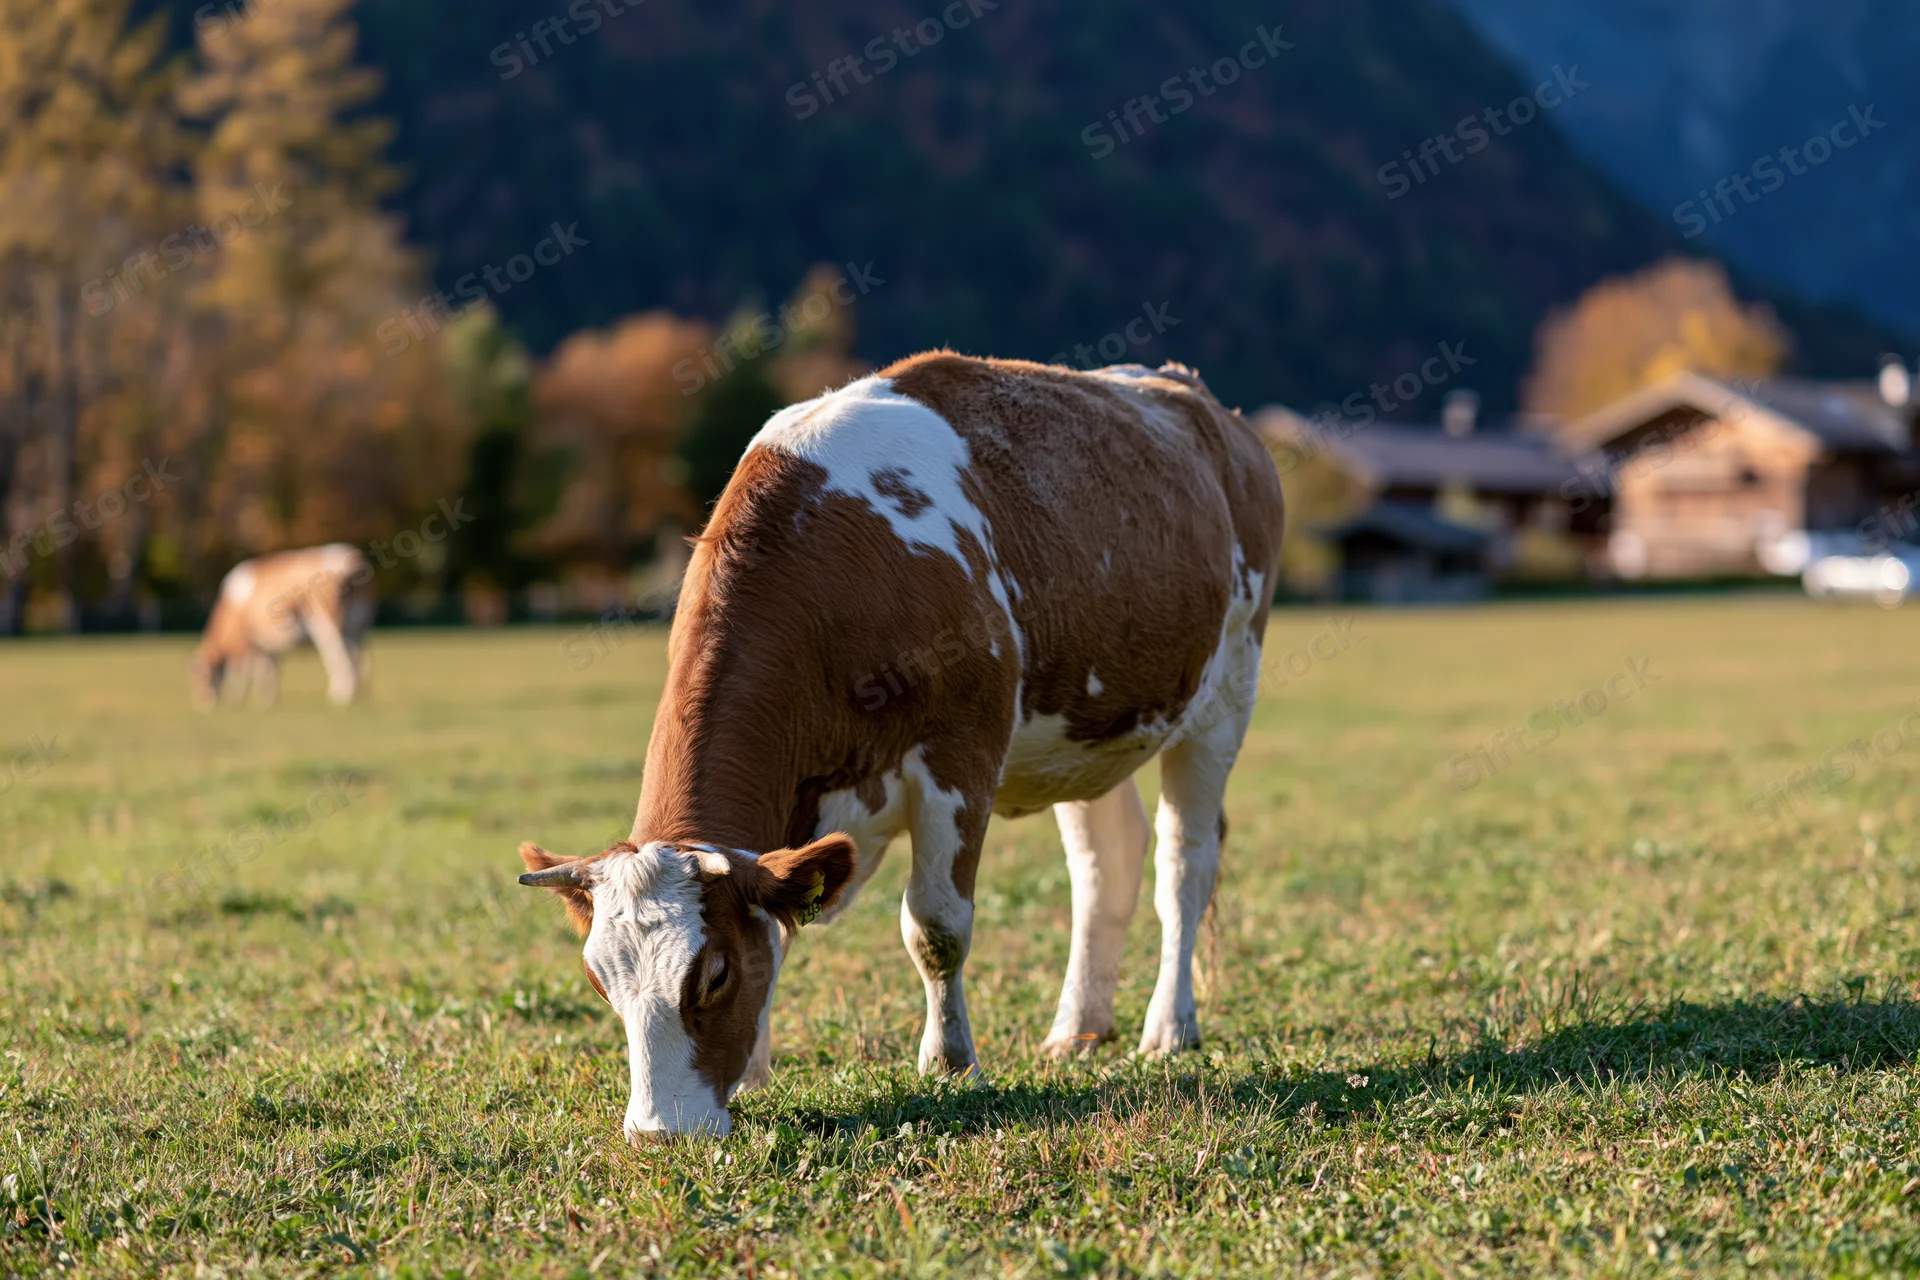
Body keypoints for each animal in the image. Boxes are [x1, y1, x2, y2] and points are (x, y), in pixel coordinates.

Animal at [190, 544, 374, 710]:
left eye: (202, 677)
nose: (204, 704)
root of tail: (352, 558)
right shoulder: (267, 643)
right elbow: (269, 668)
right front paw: (268, 699)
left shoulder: (246, 642)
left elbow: (244, 671)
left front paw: (241, 698)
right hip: (356, 627)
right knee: (358, 659)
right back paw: (357, 696)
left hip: (327, 625)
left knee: (339, 658)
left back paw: (340, 697)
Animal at [516, 353, 1284, 1140]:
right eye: (599, 980)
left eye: (715, 973)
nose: (660, 1131)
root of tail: (1192, 394)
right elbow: (780, 927)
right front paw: (755, 1073)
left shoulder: (961, 753)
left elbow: (935, 926)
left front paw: (949, 1062)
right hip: (1086, 731)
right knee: (1109, 861)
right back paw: (1079, 1028)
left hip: (1225, 694)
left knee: (1183, 864)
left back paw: (1169, 1027)